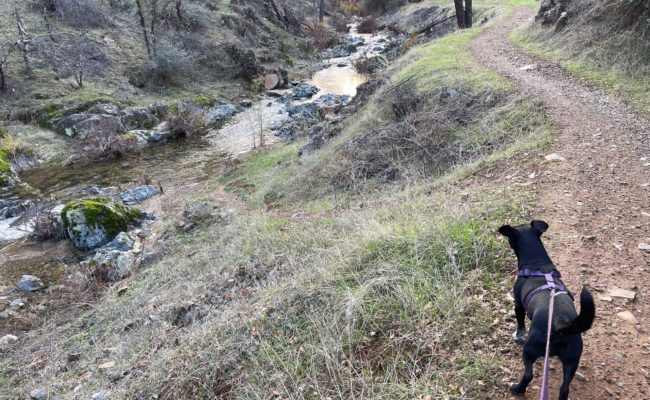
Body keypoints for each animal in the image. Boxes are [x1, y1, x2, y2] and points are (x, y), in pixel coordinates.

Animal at [498, 220, 596, 400]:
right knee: (564, 388)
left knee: (528, 374)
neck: (536, 263)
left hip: (529, 349)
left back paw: (517, 388)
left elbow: (520, 324)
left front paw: (518, 336)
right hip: (572, 361)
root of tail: (562, 324)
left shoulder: (518, 306)